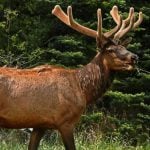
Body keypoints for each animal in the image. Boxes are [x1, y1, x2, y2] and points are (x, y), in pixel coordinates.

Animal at [0, 4, 143, 150]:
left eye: (123, 47)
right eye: (110, 50)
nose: (134, 57)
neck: (83, 90)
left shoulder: (40, 124)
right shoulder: (65, 121)